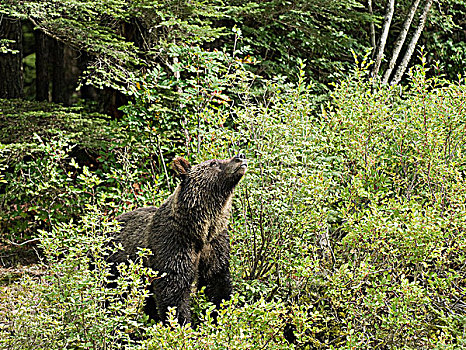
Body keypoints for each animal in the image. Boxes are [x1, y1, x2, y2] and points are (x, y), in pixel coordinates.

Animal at [108, 154, 248, 326]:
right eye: (213, 163)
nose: (240, 157)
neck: (200, 229)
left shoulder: (215, 242)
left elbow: (217, 281)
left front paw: (218, 318)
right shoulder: (173, 244)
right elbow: (173, 291)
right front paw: (182, 324)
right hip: (115, 265)